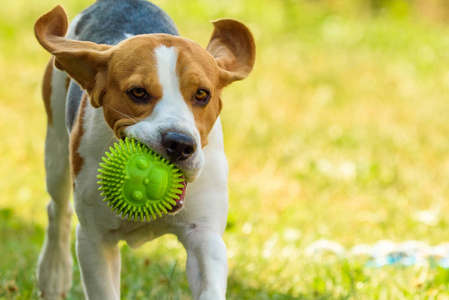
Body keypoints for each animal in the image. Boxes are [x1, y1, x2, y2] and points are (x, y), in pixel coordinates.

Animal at [33, 1, 254, 298]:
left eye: (202, 94)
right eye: (138, 92)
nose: (180, 144)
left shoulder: (205, 236)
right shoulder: (94, 240)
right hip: (56, 154)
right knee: (58, 210)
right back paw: (53, 274)